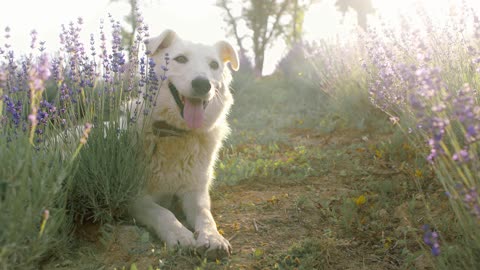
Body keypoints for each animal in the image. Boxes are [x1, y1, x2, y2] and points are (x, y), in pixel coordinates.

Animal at [128, 29, 239, 260]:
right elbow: (163, 212)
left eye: (214, 64)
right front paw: (180, 235)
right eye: (180, 59)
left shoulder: (195, 192)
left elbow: (206, 216)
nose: (203, 84)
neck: (175, 135)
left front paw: (213, 237)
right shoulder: (134, 198)